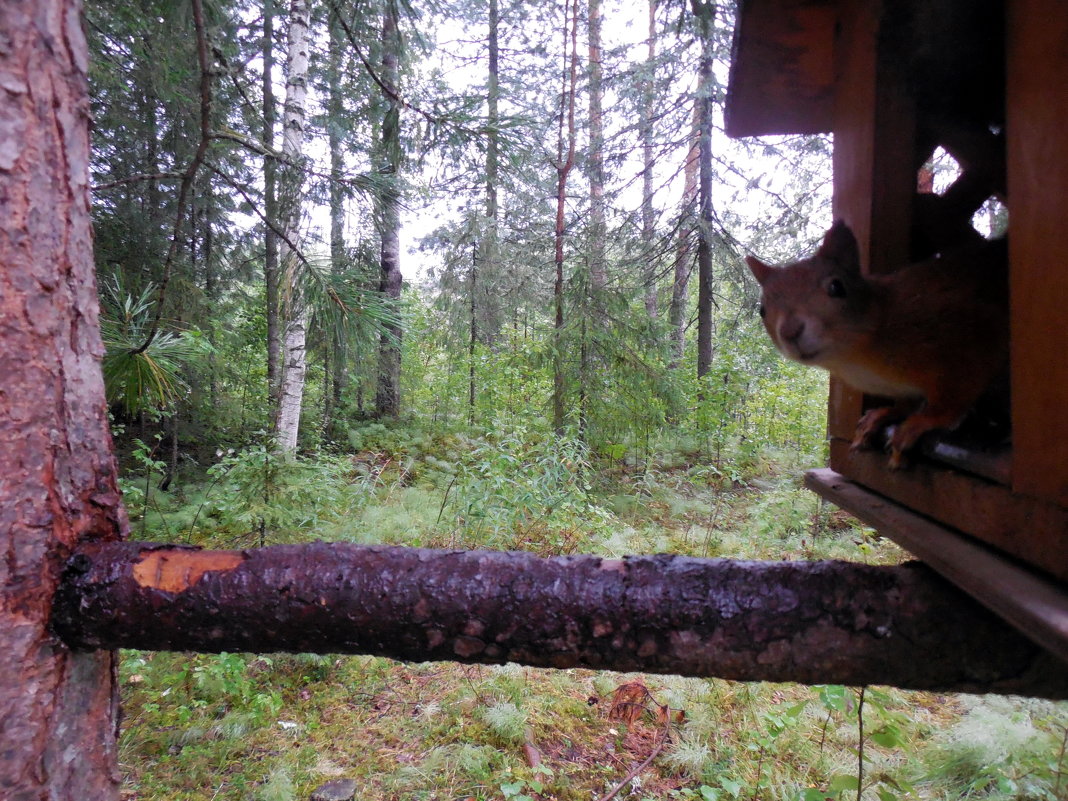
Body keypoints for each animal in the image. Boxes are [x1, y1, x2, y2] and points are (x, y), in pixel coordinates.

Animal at [743, 223, 1008, 467]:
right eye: (762, 310)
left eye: (837, 287)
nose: (790, 332)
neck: (853, 358)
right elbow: (908, 402)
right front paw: (885, 414)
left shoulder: (967, 341)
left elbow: (953, 399)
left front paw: (921, 422)